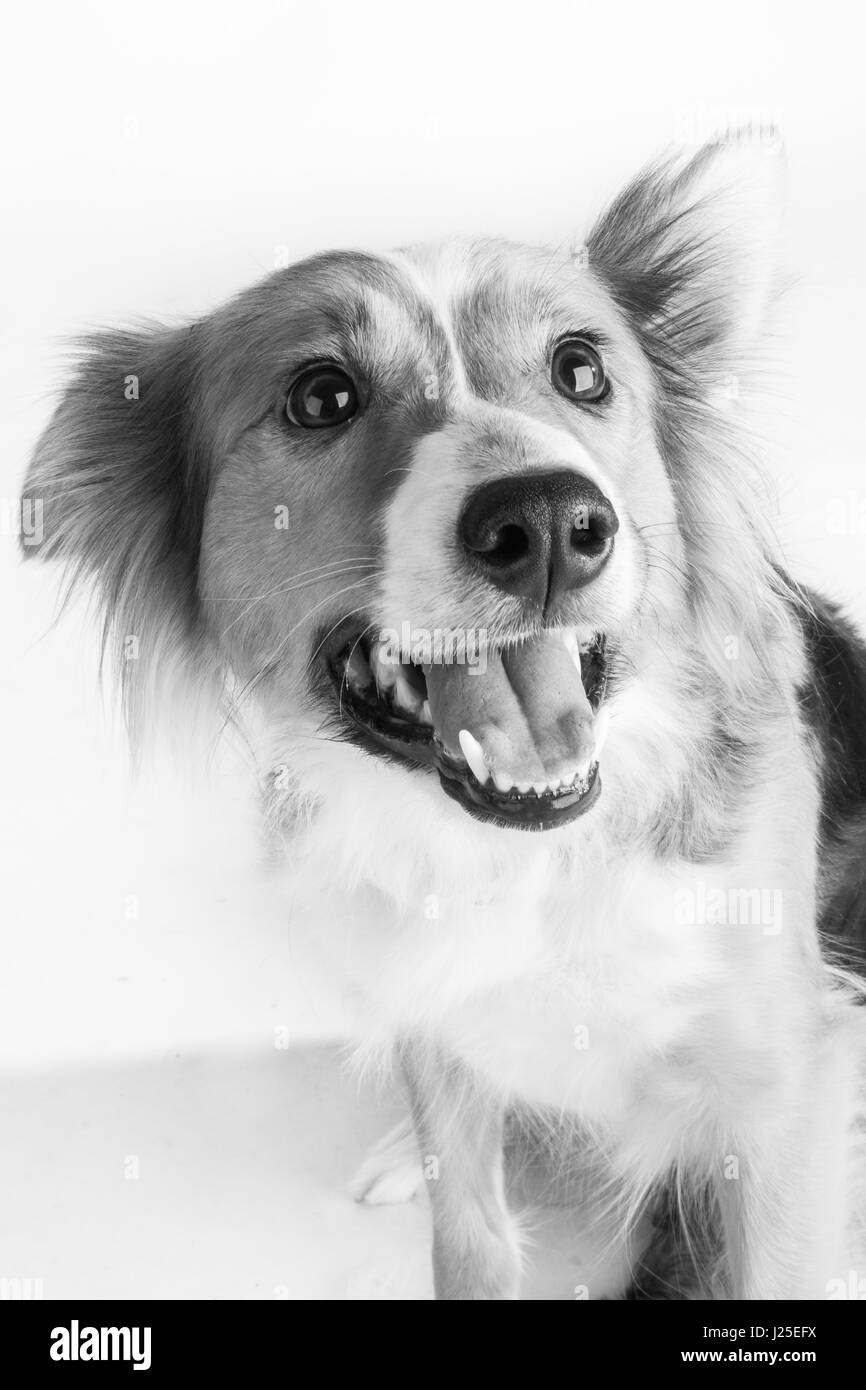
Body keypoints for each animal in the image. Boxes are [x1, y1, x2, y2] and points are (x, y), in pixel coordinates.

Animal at [20, 132, 866, 1301]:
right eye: (320, 395)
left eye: (581, 369)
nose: (549, 521)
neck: (522, 858)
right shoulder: (438, 1025)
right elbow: (467, 1232)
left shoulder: (785, 1086)